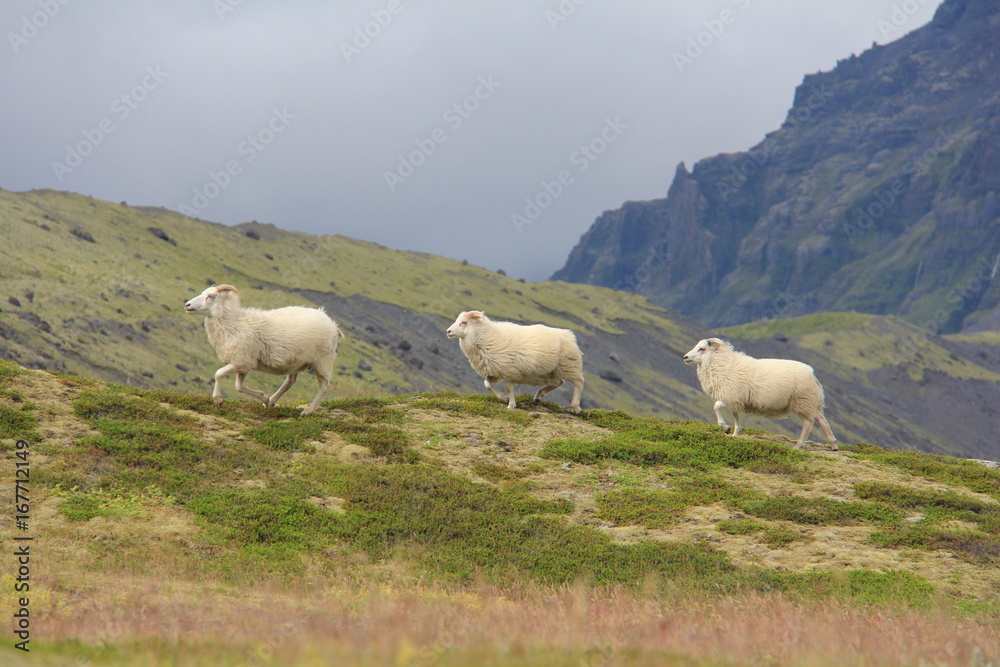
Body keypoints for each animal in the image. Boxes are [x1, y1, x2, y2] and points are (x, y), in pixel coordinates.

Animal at [184, 284, 343, 415]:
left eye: (211, 296)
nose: (187, 304)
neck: (234, 323)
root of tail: (332, 323)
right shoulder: (244, 364)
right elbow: (238, 386)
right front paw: (264, 398)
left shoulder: (241, 361)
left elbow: (218, 374)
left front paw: (217, 400)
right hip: (296, 361)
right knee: (290, 381)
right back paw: (271, 401)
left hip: (322, 360)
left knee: (324, 386)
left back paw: (308, 411)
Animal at [446, 310, 584, 414]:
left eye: (464, 322)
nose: (448, 331)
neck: (486, 337)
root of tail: (569, 334)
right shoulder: (494, 371)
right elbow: (487, 384)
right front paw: (503, 398)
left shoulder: (510, 371)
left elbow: (508, 388)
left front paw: (511, 404)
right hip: (551, 371)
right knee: (559, 382)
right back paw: (539, 396)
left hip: (569, 365)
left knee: (578, 383)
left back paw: (575, 407)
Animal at [682, 337, 837, 450]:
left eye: (702, 348)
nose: (685, 357)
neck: (723, 365)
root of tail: (813, 375)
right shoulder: (735, 400)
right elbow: (736, 416)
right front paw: (735, 433)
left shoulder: (730, 396)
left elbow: (716, 406)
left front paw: (725, 427)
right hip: (811, 403)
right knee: (822, 421)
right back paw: (833, 445)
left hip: (802, 401)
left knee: (808, 423)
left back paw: (798, 445)